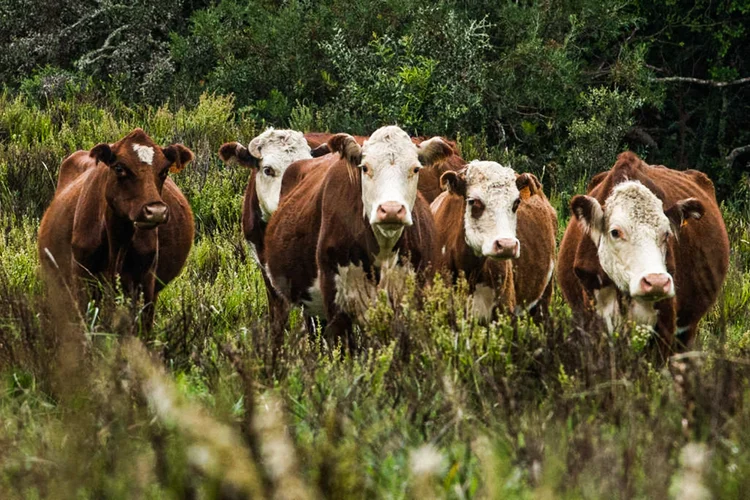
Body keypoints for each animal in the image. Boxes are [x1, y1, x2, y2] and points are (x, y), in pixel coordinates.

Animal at [38, 128, 194, 328]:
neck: (117, 242)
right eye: (120, 168)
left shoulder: (146, 283)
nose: (156, 211)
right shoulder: (81, 278)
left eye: (164, 170)